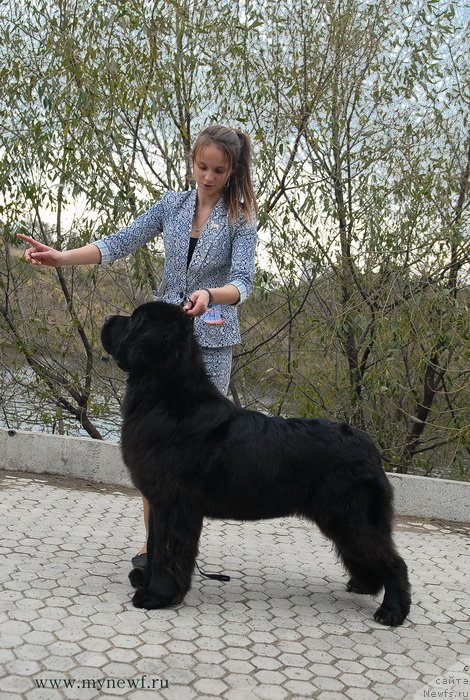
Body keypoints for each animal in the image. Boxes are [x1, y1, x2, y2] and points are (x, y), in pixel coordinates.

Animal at [101, 300, 410, 624]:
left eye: (136, 320)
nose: (107, 319)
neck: (168, 395)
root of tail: (370, 447)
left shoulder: (173, 505)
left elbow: (167, 551)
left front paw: (156, 595)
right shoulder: (160, 502)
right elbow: (154, 545)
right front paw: (145, 581)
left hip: (352, 518)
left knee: (395, 562)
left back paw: (392, 611)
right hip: (341, 520)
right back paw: (364, 584)